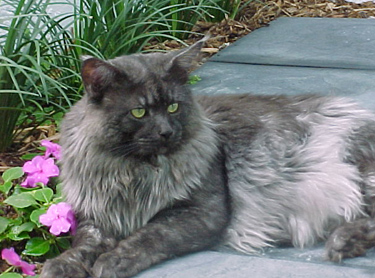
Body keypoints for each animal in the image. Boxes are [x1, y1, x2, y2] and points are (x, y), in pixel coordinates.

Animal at [39, 37, 375, 278]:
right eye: (139, 112)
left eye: (173, 107)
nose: (166, 132)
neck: (133, 173)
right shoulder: (95, 216)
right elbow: (84, 244)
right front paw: (62, 266)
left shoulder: (201, 212)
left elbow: (148, 236)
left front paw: (114, 261)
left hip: (362, 174)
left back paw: (342, 243)